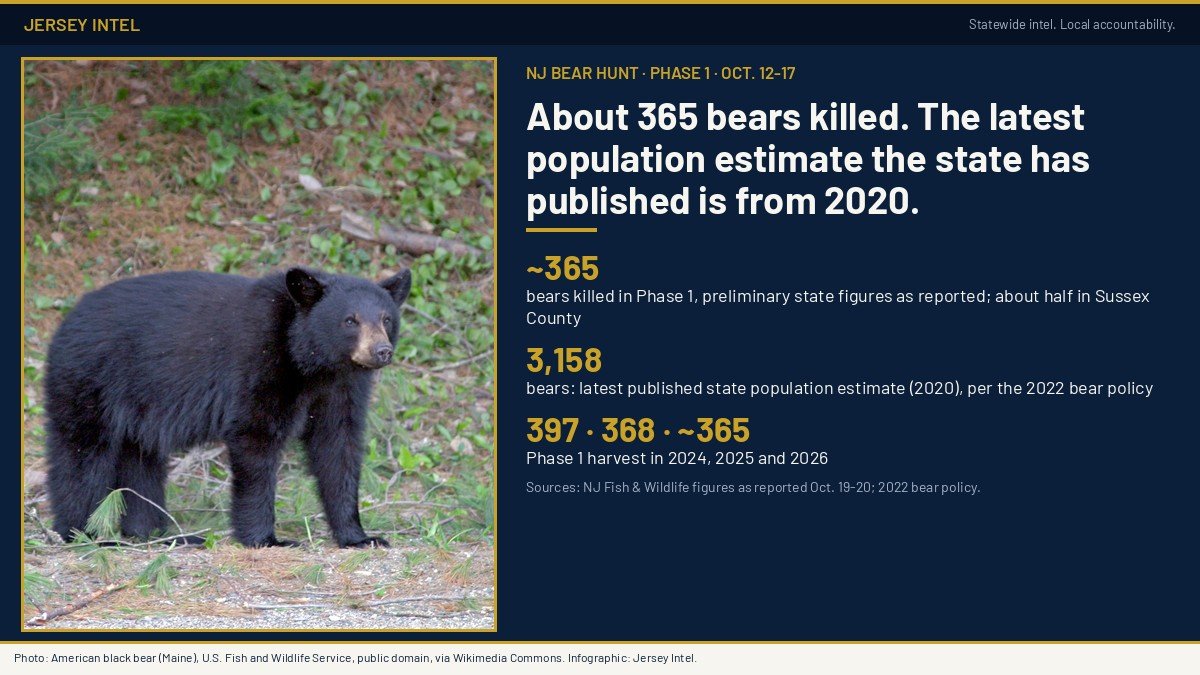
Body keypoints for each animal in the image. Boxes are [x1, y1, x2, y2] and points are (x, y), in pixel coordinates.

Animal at [43, 266, 412, 548]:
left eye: (386, 319)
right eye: (350, 320)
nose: (381, 351)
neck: (312, 363)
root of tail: (66, 321)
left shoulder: (341, 389)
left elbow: (338, 447)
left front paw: (360, 536)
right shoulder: (259, 364)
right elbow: (255, 438)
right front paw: (266, 539)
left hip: (139, 407)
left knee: (141, 459)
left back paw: (158, 534)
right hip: (91, 381)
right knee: (82, 454)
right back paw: (87, 533)